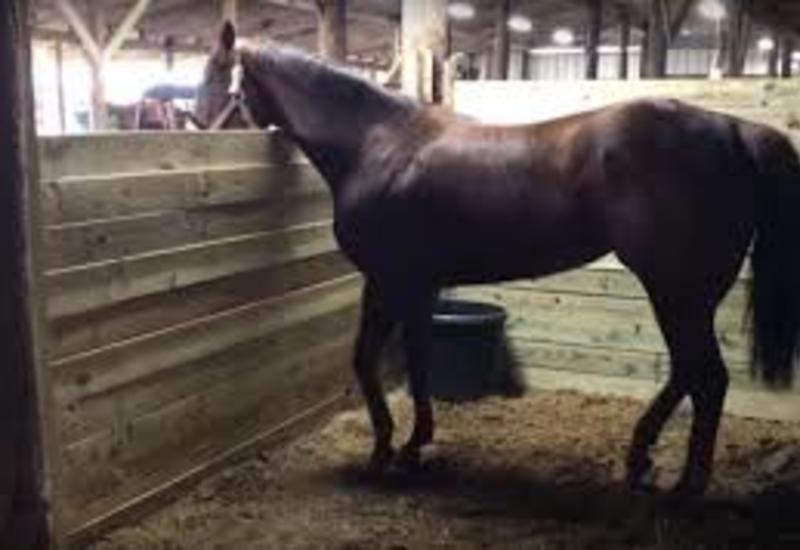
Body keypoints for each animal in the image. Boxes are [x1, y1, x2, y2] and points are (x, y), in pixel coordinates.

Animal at [195, 21, 800, 497]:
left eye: (209, 77)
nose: (195, 130)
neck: (376, 142)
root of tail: (735, 130)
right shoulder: (421, 284)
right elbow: (419, 362)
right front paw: (416, 445)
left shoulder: (387, 280)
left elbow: (365, 360)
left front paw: (383, 452)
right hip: (689, 293)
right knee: (688, 372)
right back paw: (640, 460)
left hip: (676, 288)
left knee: (707, 377)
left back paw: (684, 487)